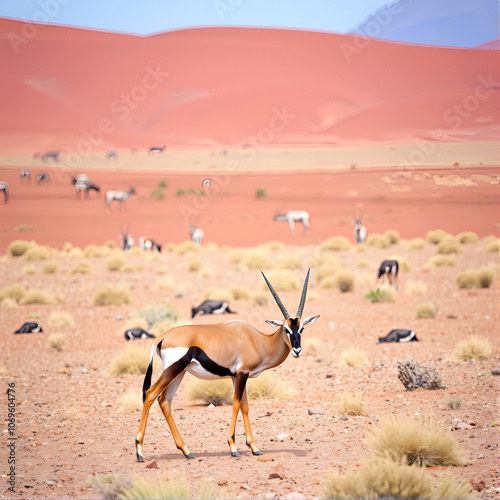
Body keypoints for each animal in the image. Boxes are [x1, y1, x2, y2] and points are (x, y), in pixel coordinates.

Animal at [135, 272, 318, 462]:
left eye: (301, 329)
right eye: (286, 329)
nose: (297, 350)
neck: (258, 340)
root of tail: (162, 337)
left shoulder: (236, 376)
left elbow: (245, 407)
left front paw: (254, 448)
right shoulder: (243, 374)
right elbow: (236, 405)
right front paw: (233, 448)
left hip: (179, 373)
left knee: (165, 401)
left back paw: (186, 451)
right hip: (172, 370)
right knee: (150, 394)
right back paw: (140, 452)